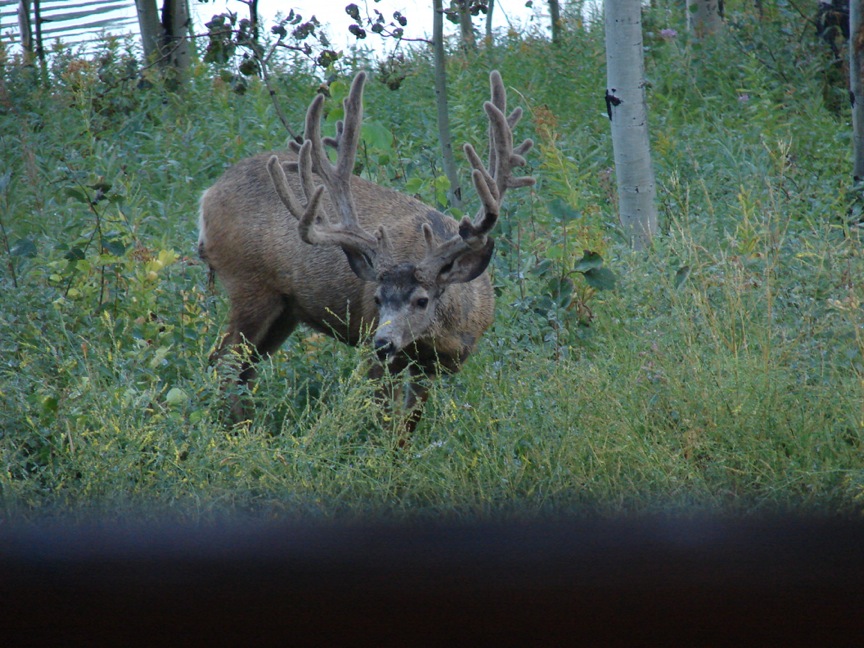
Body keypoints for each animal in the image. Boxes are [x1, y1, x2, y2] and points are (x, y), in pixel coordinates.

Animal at [199, 69, 532, 436]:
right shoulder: (378, 360)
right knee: (225, 362)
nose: (383, 342)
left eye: (422, 300)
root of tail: (207, 195)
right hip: (249, 284)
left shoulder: (434, 366)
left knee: (245, 368)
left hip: (285, 309)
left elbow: (408, 426)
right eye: (376, 298)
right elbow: (384, 419)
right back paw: (235, 434)